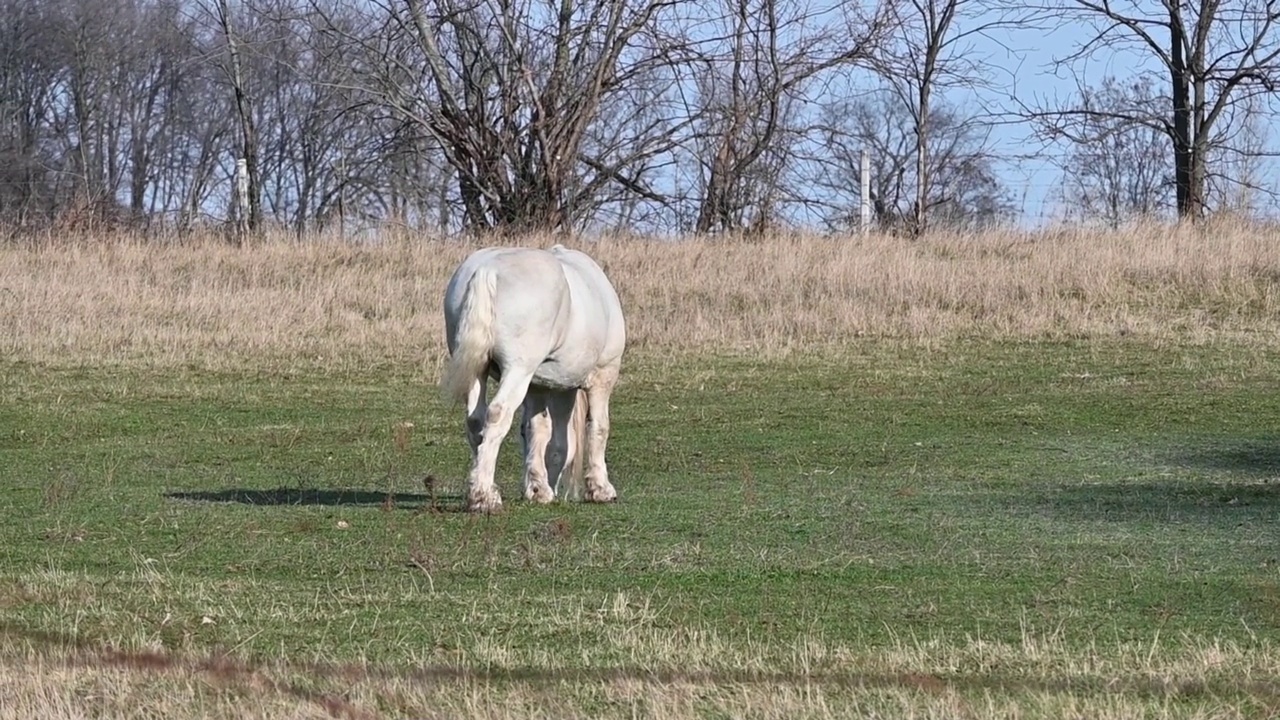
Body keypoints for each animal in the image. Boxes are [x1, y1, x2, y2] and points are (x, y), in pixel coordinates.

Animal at [437, 243, 627, 512]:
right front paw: (600, 488)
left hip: (478, 371)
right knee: (496, 415)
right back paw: (484, 497)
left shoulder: (543, 387)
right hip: (518, 371)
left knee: (475, 420)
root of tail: (488, 269)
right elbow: (596, 428)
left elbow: (537, 430)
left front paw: (537, 488)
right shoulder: (601, 376)